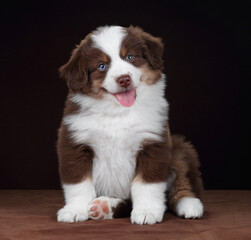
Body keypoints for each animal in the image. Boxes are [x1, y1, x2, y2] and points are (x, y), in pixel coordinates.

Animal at [56, 25, 204, 224]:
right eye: (102, 66)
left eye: (130, 57)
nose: (124, 79)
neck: (118, 112)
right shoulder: (75, 143)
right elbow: (79, 184)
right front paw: (74, 210)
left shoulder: (153, 141)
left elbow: (147, 185)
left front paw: (147, 211)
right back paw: (104, 205)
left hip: (179, 148)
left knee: (182, 181)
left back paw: (189, 205)